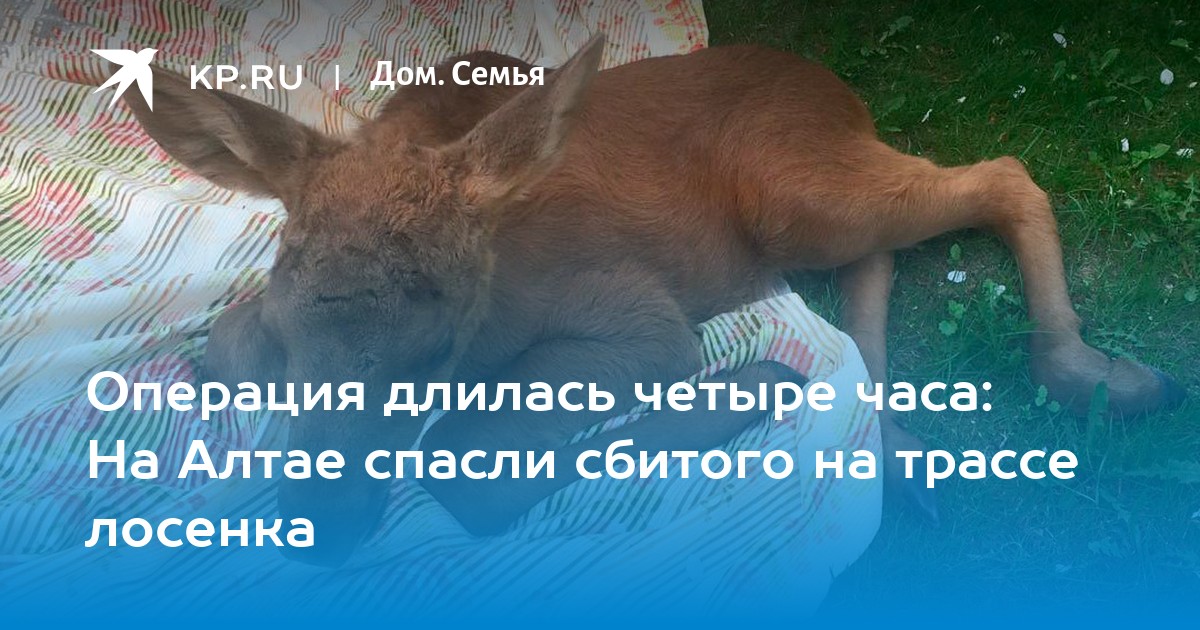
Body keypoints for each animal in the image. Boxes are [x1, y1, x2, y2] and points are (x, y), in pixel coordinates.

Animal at [118, 35, 1185, 567]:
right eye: (295, 341)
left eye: (433, 355)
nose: (319, 526)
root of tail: (833, 84)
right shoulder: (249, 325)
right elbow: (220, 349)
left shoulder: (636, 316)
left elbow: (467, 461)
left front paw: (747, 386)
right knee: (880, 259)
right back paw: (900, 448)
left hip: (795, 190)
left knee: (1000, 175)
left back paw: (1092, 374)